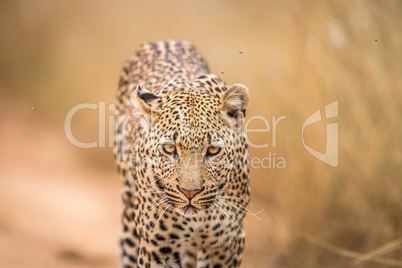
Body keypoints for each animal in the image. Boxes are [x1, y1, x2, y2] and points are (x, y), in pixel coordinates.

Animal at [113, 40, 250, 268]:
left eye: (213, 150)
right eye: (169, 149)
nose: (190, 193)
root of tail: (163, 40)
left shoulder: (226, 247)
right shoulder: (157, 248)